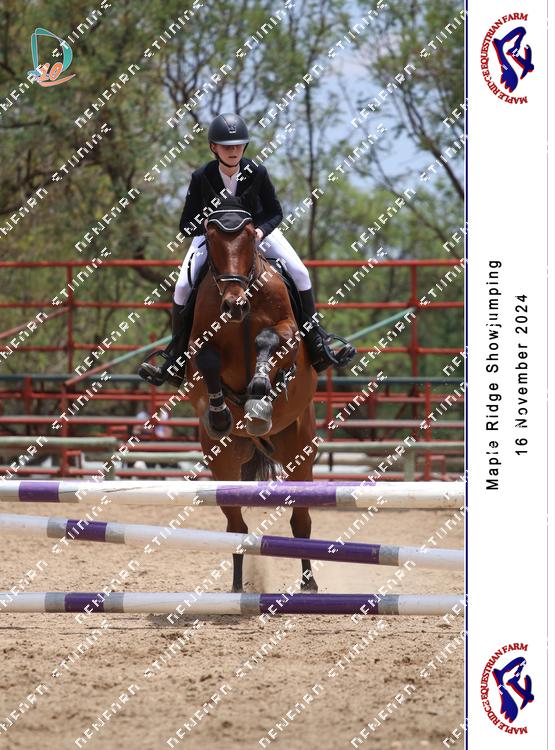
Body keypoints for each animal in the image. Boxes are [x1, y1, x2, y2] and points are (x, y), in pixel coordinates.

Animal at [184, 199, 319, 593]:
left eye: (248, 242)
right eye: (212, 242)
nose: (234, 305)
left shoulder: (287, 332)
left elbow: (269, 339)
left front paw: (259, 394)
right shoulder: (198, 343)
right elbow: (207, 358)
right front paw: (220, 414)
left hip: (299, 453)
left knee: (301, 522)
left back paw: (309, 584)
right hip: (224, 461)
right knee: (236, 528)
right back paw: (236, 587)